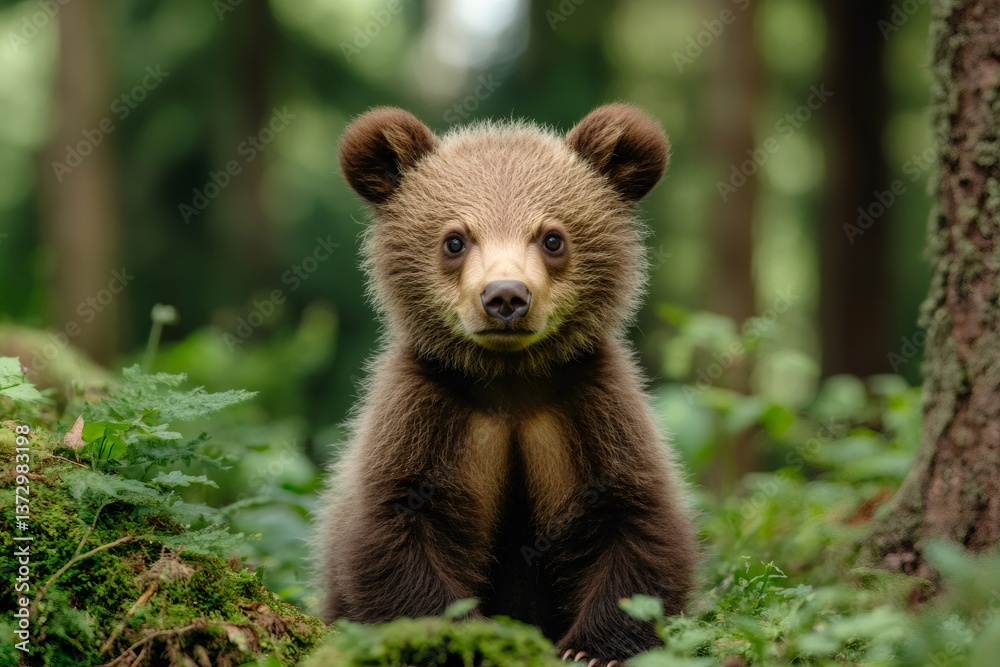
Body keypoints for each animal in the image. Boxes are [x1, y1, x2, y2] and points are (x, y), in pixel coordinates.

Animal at [318, 104, 699, 666]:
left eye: (552, 237)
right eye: (455, 239)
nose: (505, 297)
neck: (510, 380)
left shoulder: (589, 407)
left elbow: (634, 523)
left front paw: (593, 650)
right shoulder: (429, 411)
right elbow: (398, 534)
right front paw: (466, 635)